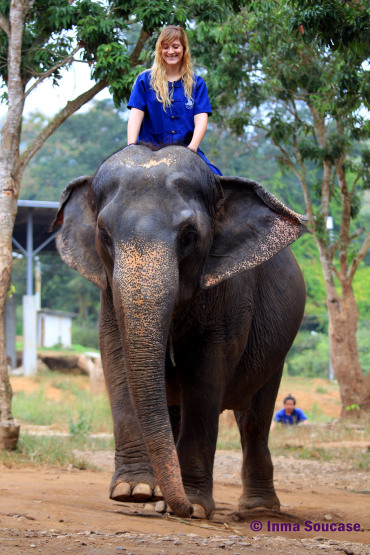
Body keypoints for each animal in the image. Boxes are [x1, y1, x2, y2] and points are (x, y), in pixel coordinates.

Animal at [52, 143, 306, 520]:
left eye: (189, 235)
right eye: (104, 235)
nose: (180, 509)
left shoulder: (230, 295)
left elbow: (205, 376)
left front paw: (196, 506)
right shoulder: (108, 294)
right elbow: (116, 357)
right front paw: (133, 492)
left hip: (277, 349)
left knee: (254, 418)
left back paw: (258, 510)